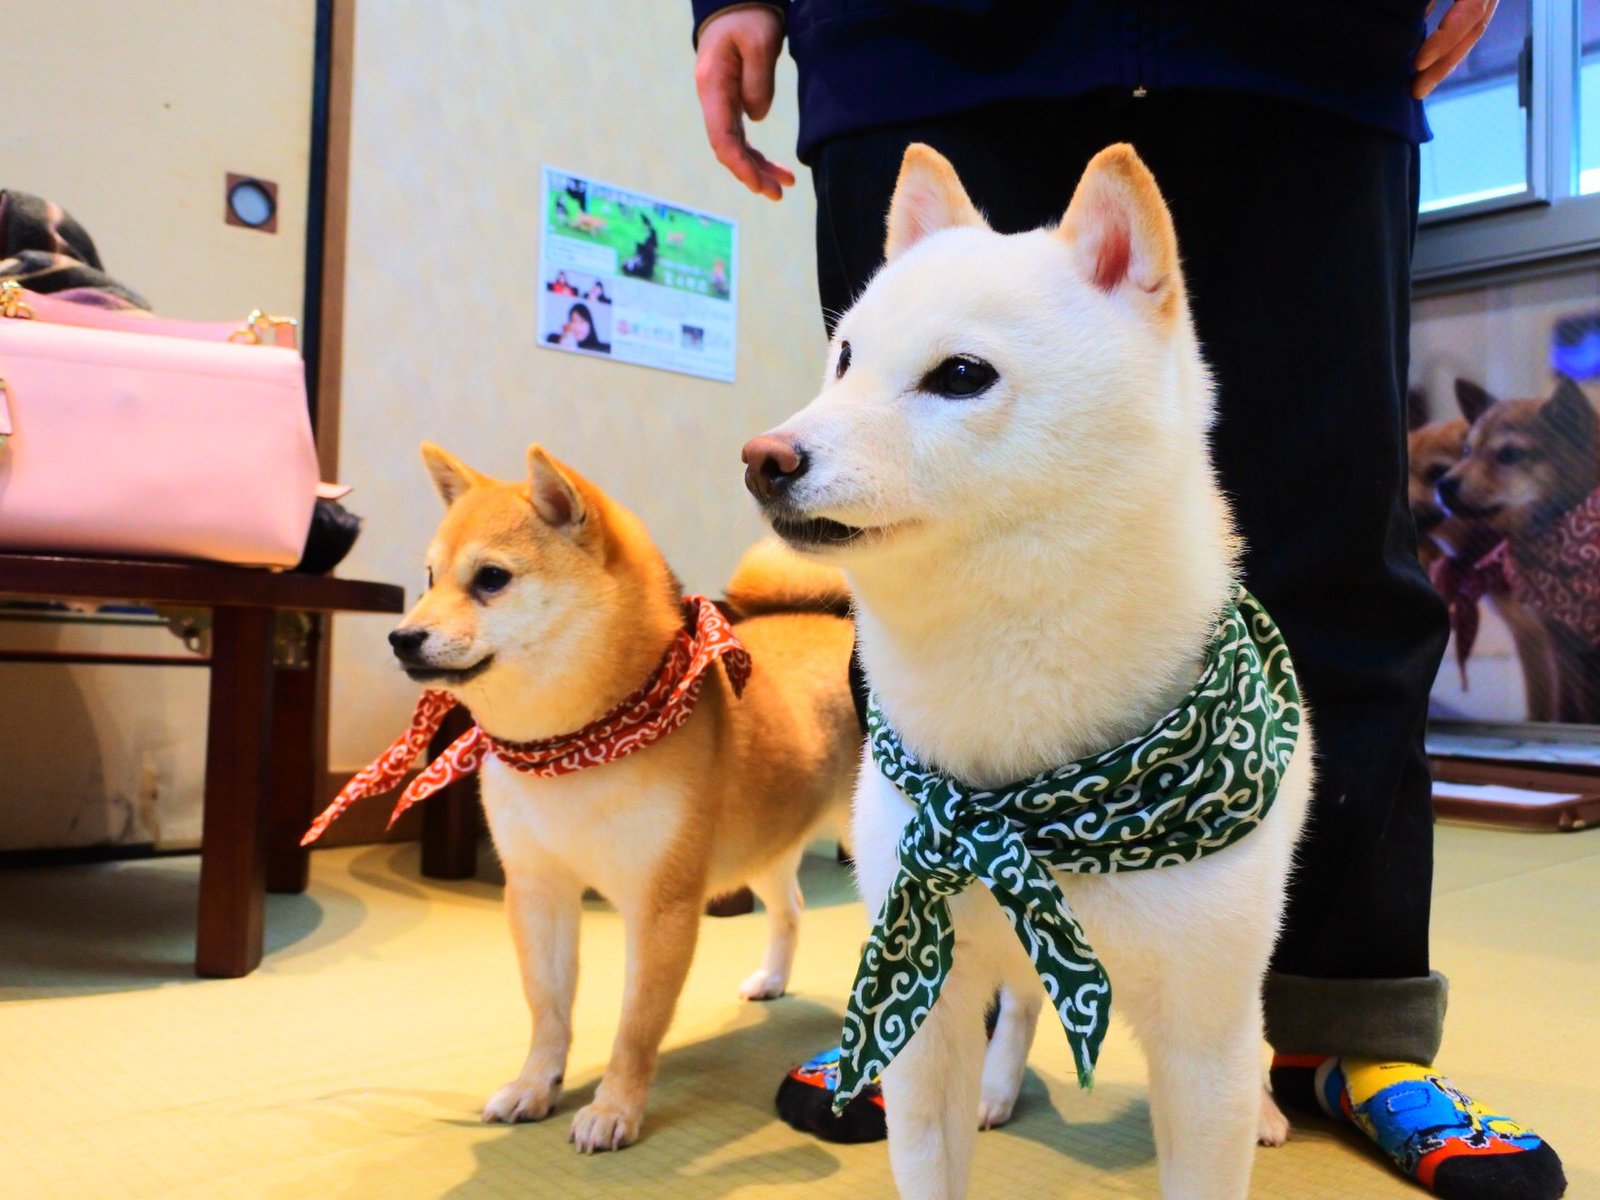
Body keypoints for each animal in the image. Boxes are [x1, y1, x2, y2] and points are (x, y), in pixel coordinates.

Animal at [392, 444, 857, 1158]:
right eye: (428, 578)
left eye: (491, 578)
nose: (401, 637)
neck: (571, 746)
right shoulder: (538, 890)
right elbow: (548, 1009)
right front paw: (535, 1086)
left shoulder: (661, 905)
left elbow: (637, 1026)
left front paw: (614, 1110)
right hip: (765, 846)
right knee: (793, 909)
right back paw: (772, 979)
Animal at [739, 145, 1312, 1196]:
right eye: (845, 358)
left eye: (961, 375)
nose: (765, 457)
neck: (1023, 785)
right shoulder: (921, 1011)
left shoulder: (1199, 1033)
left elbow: (1217, 1091)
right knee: (1022, 1003)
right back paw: (1002, 1087)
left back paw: (1266, 1107)